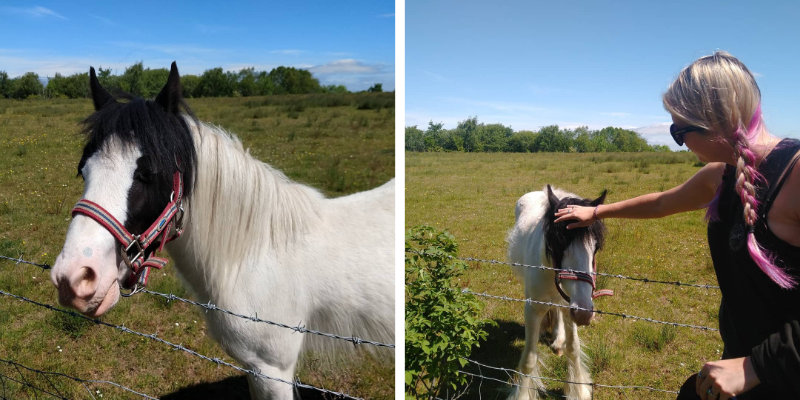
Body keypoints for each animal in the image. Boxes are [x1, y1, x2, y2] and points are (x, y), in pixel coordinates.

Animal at [506, 186, 608, 400]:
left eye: (595, 248)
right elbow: (529, 360)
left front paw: (579, 390)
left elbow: (574, 349)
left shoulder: (571, 305)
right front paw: (523, 394)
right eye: (558, 243)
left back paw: (558, 339)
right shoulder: (533, 309)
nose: (584, 313)